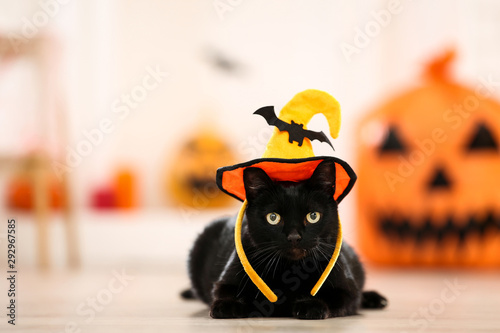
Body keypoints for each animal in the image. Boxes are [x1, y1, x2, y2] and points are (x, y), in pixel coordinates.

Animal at [182, 160, 384, 318]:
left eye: (313, 216)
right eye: (273, 217)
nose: (294, 236)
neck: (289, 270)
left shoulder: (347, 290)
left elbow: (334, 297)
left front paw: (310, 305)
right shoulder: (225, 281)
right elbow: (225, 292)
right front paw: (228, 305)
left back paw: (376, 299)